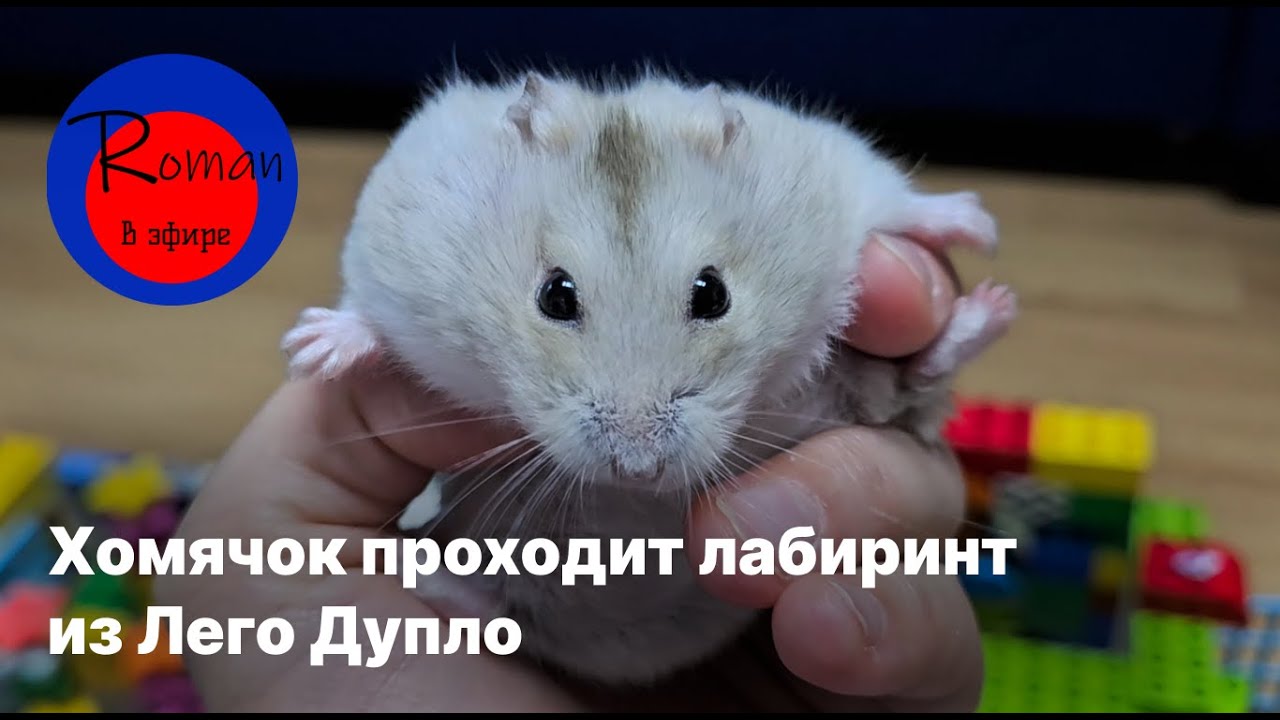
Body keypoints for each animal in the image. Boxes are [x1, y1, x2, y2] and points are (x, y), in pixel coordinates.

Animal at [281, 69, 1016, 687]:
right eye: (555, 295)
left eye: (712, 293)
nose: (637, 473)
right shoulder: (390, 241)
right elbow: (366, 310)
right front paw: (313, 348)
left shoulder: (838, 172)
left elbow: (895, 208)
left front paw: (978, 225)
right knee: (505, 609)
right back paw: (425, 576)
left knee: (910, 382)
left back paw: (992, 305)